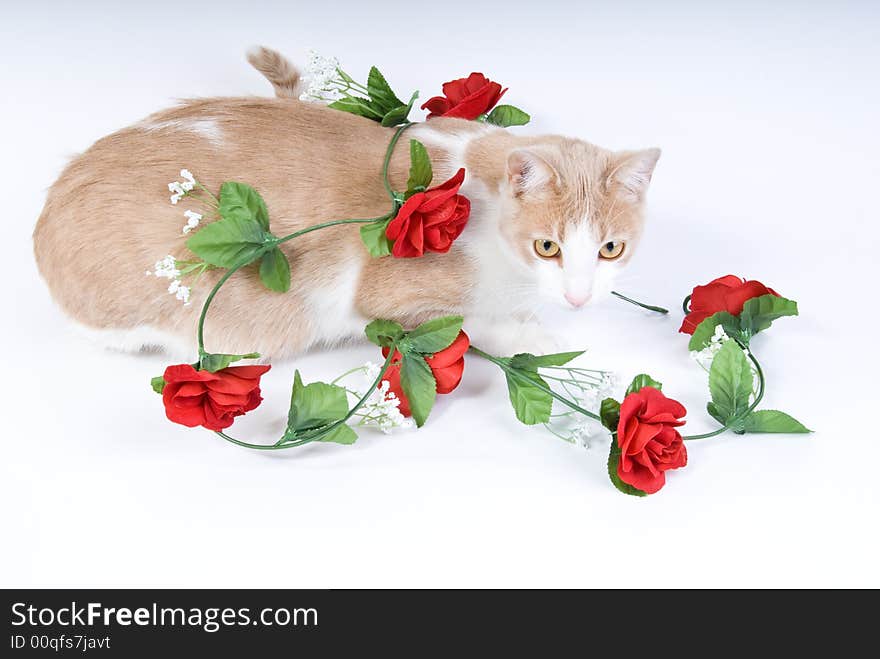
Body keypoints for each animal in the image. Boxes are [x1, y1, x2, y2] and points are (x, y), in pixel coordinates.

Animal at [32, 47, 660, 360]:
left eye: (610, 249)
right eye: (548, 246)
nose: (579, 296)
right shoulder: (383, 296)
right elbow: (473, 322)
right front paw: (537, 338)